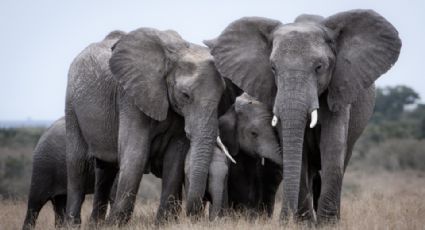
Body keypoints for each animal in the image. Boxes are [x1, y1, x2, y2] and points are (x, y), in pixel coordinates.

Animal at [64, 27, 234, 226]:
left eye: (222, 96)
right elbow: (135, 154)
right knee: (78, 164)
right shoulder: (131, 97)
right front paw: (116, 225)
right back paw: (73, 224)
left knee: (105, 169)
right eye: (185, 95)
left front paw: (163, 223)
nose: (195, 215)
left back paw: (95, 224)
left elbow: (175, 157)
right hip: (72, 104)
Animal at [205, 9, 400, 223]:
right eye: (273, 68)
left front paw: (328, 224)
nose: (284, 219)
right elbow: (298, 151)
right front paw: (304, 223)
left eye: (319, 67)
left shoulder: (340, 87)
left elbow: (332, 145)